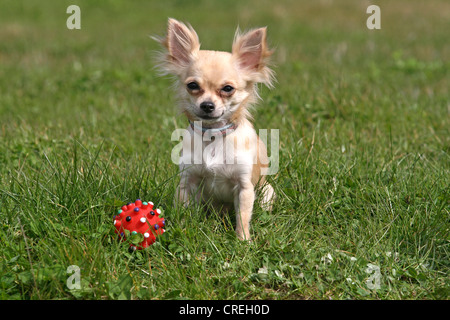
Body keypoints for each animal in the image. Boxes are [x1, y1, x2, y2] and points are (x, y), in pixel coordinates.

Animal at [154, 18, 274, 240]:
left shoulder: (245, 188)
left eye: (228, 89)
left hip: (267, 192)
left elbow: (243, 216)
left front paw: (243, 240)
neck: (213, 135)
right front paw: (183, 231)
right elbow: (183, 211)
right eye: (192, 85)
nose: (207, 105)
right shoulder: (187, 183)